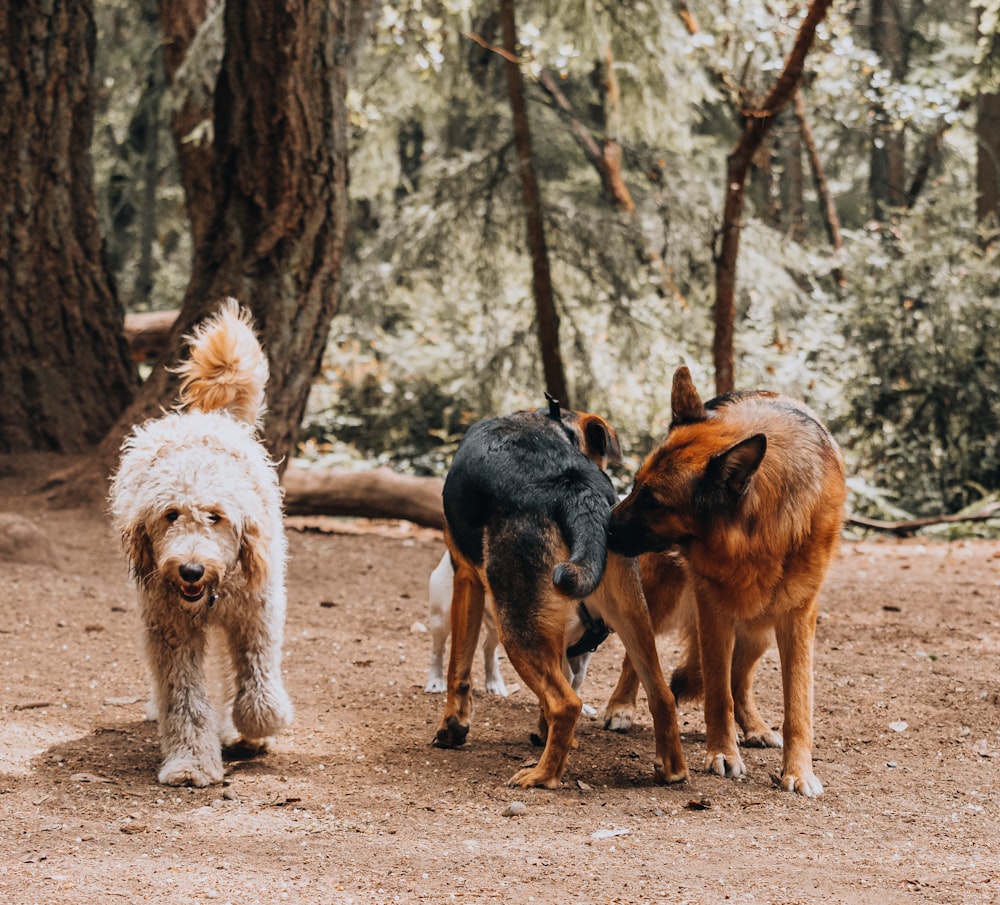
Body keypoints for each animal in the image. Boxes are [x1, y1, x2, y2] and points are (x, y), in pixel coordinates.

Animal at [113, 298, 294, 784]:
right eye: (170, 515)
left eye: (216, 517)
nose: (191, 569)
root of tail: (206, 418)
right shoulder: (171, 631)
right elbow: (184, 700)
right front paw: (191, 763)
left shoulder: (255, 613)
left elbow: (256, 681)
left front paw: (255, 725)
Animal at [434, 400, 692, 788]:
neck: (552, 422)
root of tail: (573, 487)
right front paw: (547, 734)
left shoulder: (465, 578)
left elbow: (458, 668)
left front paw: (453, 726)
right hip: (632, 615)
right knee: (661, 694)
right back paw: (671, 770)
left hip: (517, 626)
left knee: (566, 703)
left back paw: (543, 775)